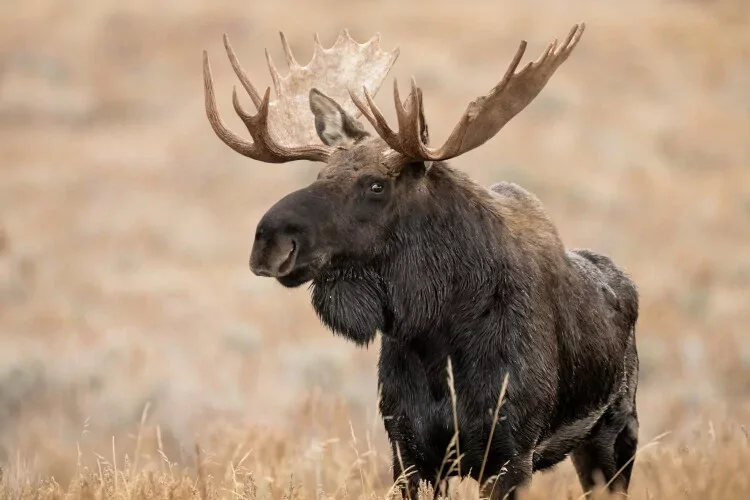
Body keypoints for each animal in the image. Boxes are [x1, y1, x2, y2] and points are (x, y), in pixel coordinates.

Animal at [202, 24, 640, 500]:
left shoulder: (510, 455)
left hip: (616, 436)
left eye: (376, 185)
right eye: (320, 175)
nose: (270, 241)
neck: (439, 334)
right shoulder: (409, 451)